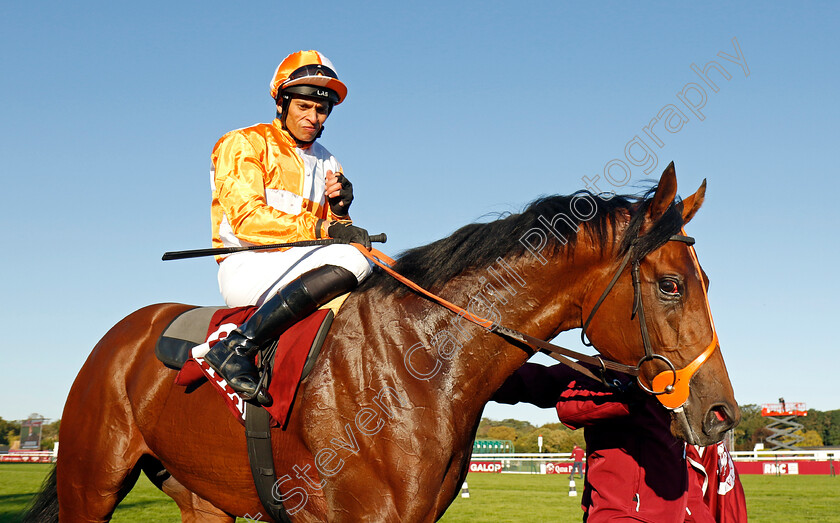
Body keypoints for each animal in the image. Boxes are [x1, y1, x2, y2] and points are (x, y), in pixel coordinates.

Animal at [26, 163, 740, 520]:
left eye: (707, 280)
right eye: (672, 284)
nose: (720, 413)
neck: (420, 361)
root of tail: (119, 337)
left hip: (202, 496)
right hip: (91, 485)